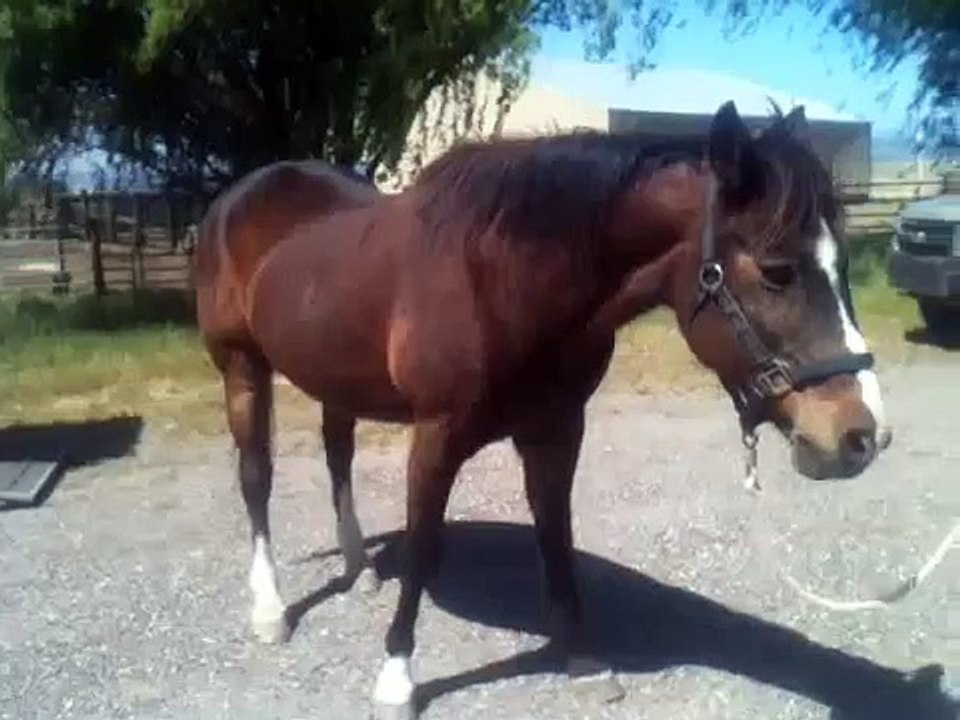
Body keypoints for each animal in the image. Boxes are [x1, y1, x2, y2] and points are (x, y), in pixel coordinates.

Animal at [194, 100, 892, 719]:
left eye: (843, 262)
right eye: (776, 270)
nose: (863, 435)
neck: (501, 277)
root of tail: (242, 195)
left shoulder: (556, 430)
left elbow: (556, 533)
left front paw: (581, 659)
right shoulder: (437, 435)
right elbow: (422, 544)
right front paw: (396, 679)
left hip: (334, 375)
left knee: (337, 452)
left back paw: (358, 566)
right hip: (241, 368)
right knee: (255, 478)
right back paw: (270, 610)